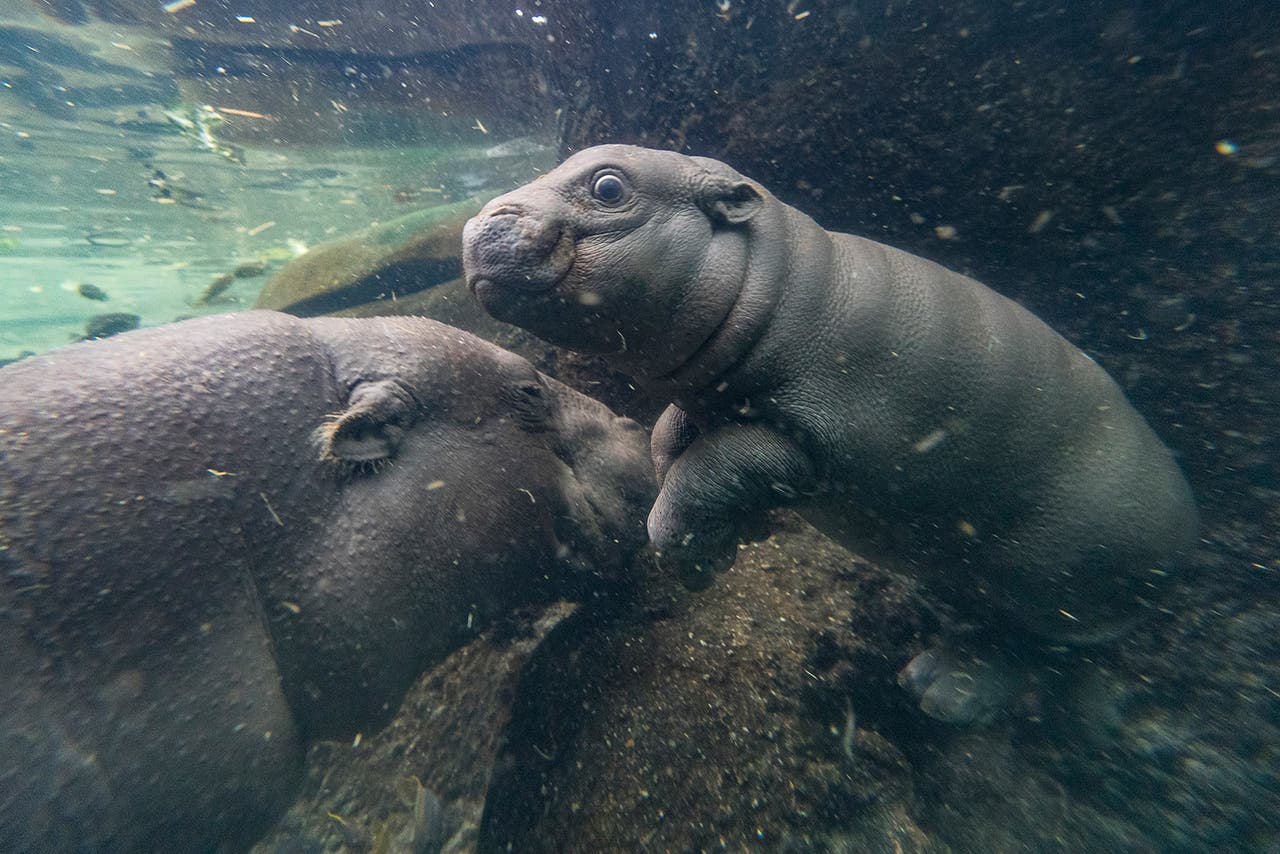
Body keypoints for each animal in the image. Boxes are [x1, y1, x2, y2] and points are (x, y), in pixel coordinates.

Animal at [461, 144, 1199, 724]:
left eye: (609, 187)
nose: (474, 225)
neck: (778, 281)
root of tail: (1187, 528)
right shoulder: (707, 402)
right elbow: (669, 443)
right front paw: (725, 546)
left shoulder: (799, 443)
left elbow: (703, 478)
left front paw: (696, 560)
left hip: (1049, 580)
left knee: (1039, 651)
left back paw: (940, 690)